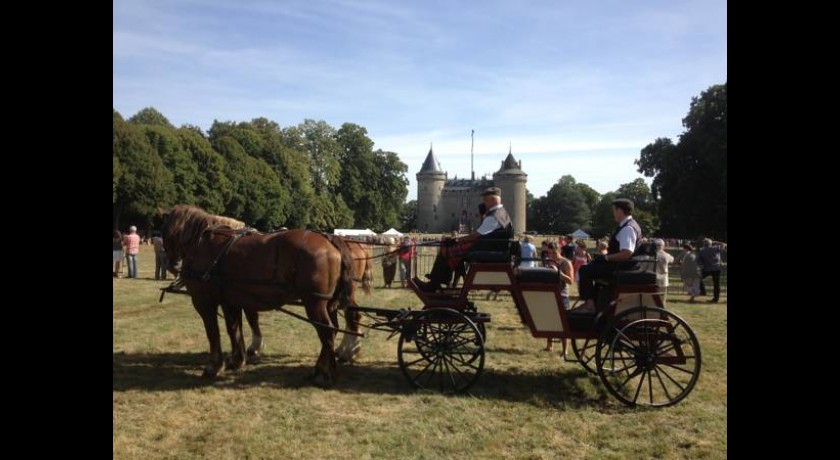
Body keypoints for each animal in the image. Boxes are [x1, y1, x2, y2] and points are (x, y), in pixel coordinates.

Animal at [162, 206, 356, 384]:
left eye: (165, 233)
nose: (173, 266)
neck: (203, 243)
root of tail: (331, 241)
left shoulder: (204, 301)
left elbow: (213, 333)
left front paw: (214, 366)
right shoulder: (230, 301)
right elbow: (233, 329)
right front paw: (236, 360)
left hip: (314, 303)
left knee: (327, 331)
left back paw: (324, 373)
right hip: (327, 303)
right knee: (333, 330)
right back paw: (322, 368)